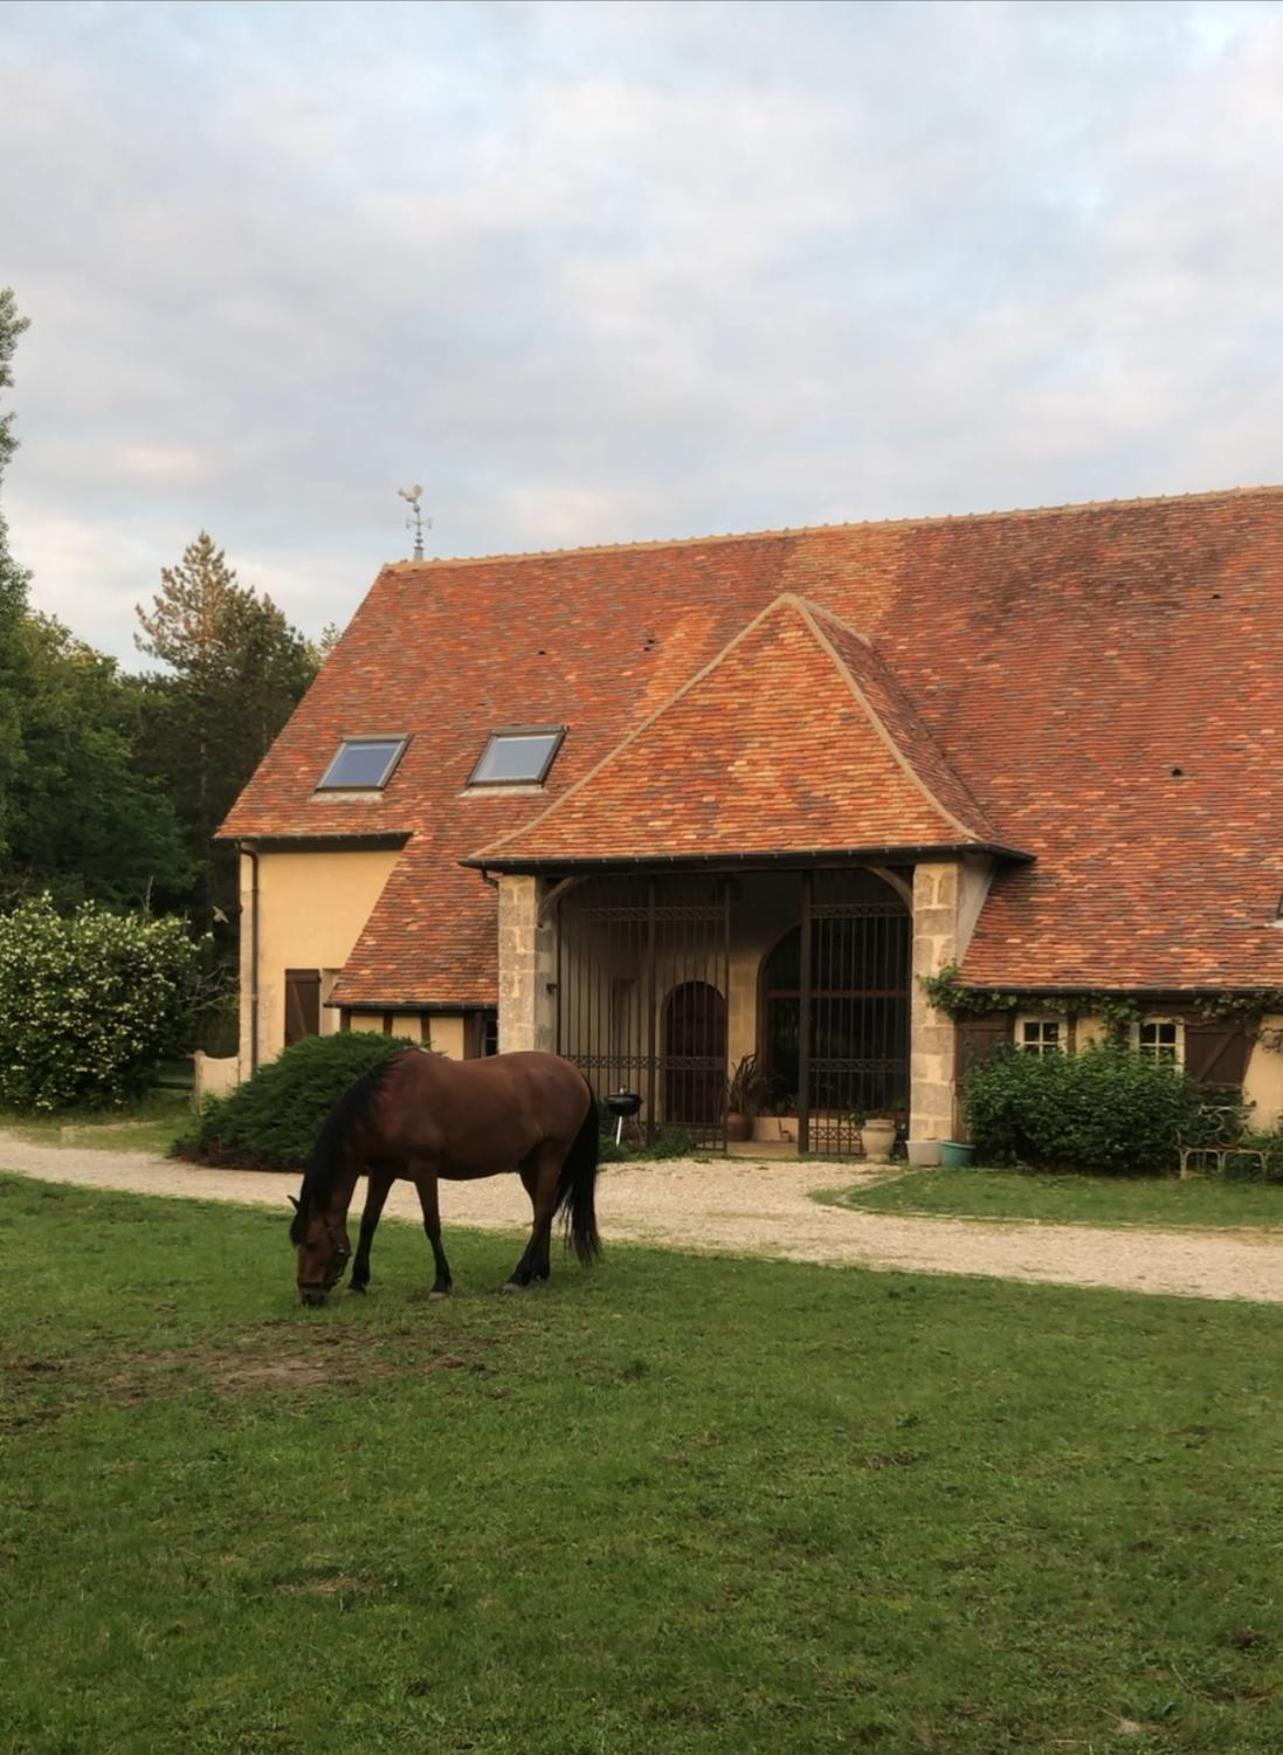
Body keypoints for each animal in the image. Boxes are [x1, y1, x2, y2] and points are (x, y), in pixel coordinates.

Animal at [287, 1038, 600, 1305]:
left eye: (312, 1243)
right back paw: (538, 1272)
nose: (308, 1295)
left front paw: (440, 1285)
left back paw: (517, 1277)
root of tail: (574, 1072)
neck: (387, 1103)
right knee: (542, 1210)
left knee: (542, 1212)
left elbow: (432, 1224)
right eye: (298, 1243)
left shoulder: (423, 1168)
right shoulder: (381, 1172)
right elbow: (368, 1223)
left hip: (550, 1156)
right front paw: (357, 1282)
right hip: (529, 1164)